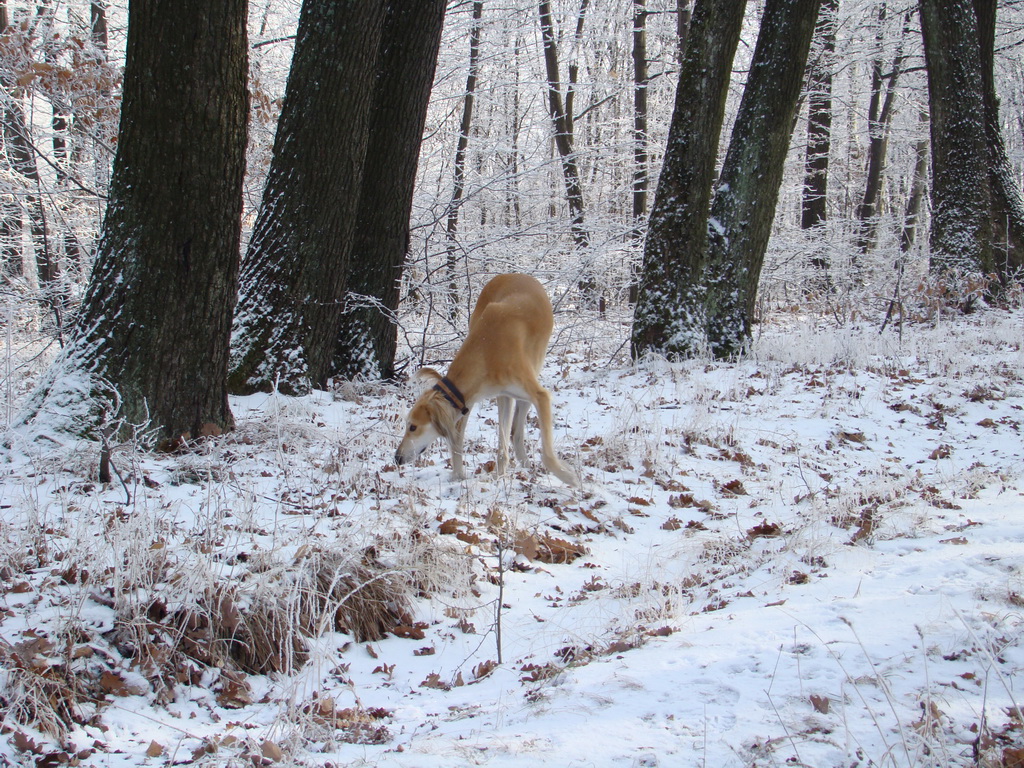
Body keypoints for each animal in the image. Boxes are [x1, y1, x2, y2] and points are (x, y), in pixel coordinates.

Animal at [395, 276, 581, 487]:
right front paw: (487, 477)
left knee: (517, 428)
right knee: (510, 431)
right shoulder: (492, 396)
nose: (397, 458)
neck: (486, 350)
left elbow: (547, 454)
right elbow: (492, 443)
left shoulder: (540, 396)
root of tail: (518, 274)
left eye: (412, 426)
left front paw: (568, 477)